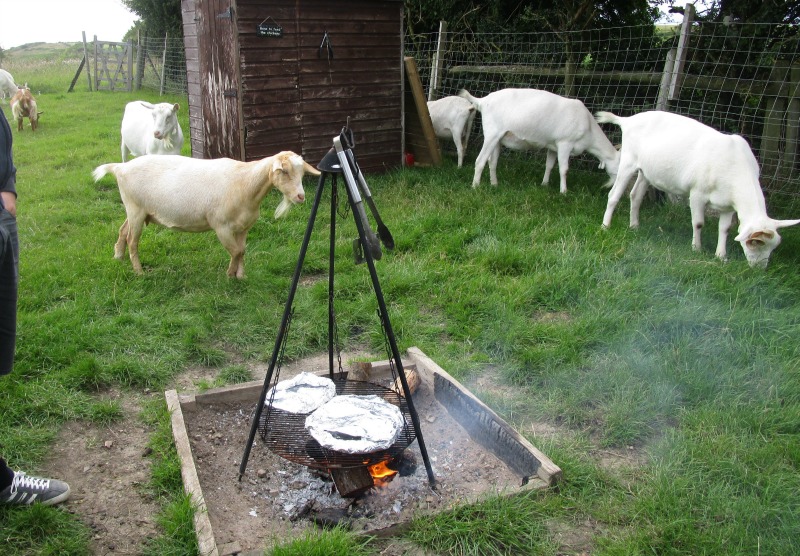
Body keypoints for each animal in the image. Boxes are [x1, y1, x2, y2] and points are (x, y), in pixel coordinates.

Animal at [92, 152, 320, 278]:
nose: (300, 196)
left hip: (136, 210)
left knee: (123, 231)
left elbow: (242, 251)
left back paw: (118, 257)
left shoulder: (244, 227)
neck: (244, 183)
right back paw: (139, 272)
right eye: (285, 171)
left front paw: (241, 276)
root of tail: (120, 167)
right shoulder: (221, 226)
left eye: (302, 173)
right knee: (132, 240)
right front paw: (230, 274)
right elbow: (236, 251)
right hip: (135, 208)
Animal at [456, 88, 620, 193]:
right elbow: (564, 169)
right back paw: (476, 186)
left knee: (492, 161)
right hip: (492, 133)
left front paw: (544, 184)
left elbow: (549, 165)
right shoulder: (565, 143)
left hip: (498, 137)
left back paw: (494, 184)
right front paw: (564, 191)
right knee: (480, 160)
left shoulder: (553, 146)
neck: (589, 130)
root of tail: (483, 101)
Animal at [596, 110, 796, 268]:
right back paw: (606, 226)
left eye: (773, 246)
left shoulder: (728, 205)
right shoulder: (697, 193)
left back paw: (635, 226)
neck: (735, 167)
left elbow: (725, 229)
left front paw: (721, 256)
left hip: (646, 171)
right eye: (755, 243)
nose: (759, 268)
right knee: (614, 195)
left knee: (635, 195)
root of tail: (627, 120)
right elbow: (698, 223)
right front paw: (696, 249)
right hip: (628, 162)